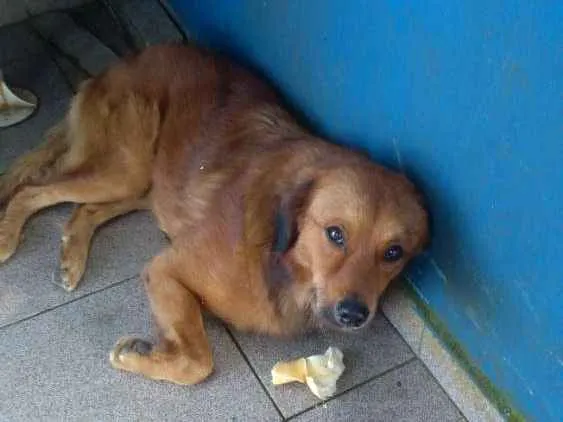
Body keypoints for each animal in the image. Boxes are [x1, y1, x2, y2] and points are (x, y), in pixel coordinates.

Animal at [0, 43, 428, 384]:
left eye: (393, 253)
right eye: (335, 234)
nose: (354, 314)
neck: (281, 258)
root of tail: (122, 62)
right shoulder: (166, 268)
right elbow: (197, 362)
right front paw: (137, 355)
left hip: (147, 186)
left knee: (83, 208)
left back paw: (71, 258)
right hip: (126, 170)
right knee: (30, 188)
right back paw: (7, 238)